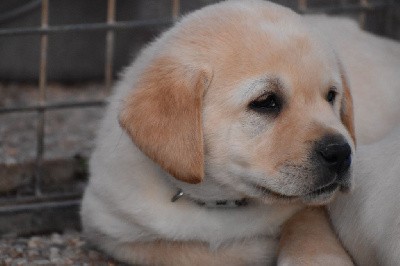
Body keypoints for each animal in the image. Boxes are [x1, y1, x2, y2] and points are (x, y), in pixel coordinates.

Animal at [80, 1, 356, 264]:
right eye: (266, 102)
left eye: (331, 96)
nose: (341, 152)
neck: (222, 201)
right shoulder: (110, 228)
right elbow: (184, 251)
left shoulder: (311, 209)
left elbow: (308, 228)